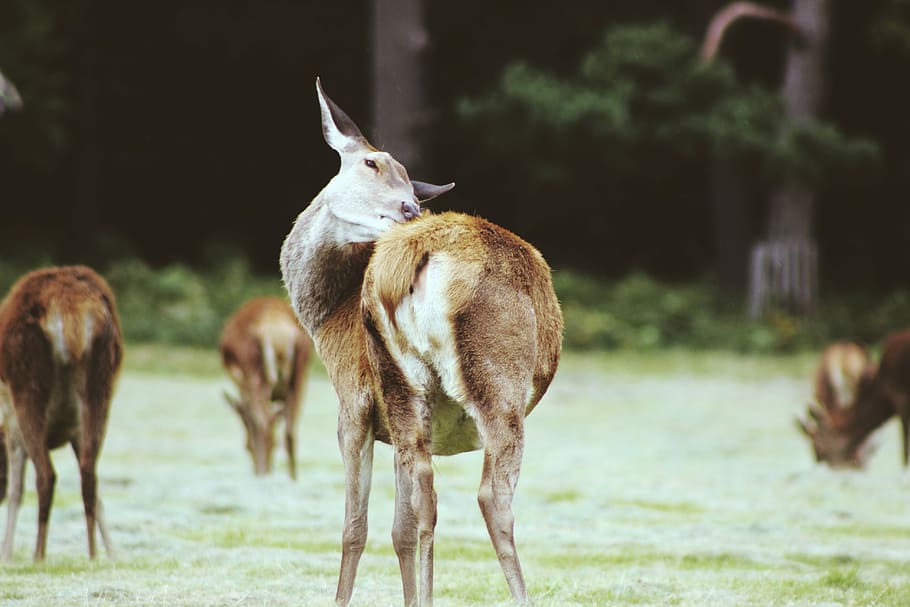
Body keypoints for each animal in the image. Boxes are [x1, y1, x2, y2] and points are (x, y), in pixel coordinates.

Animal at [0, 265, 122, 561]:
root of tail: (72, 310)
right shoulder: (75, 432)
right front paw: (113, 552)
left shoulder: (11, 428)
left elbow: (16, 491)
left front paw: (6, 555)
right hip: (101, 386)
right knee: (90, 474)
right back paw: (93, 555)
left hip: (28, 385)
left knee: (46, 475)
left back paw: (38, 556)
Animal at [219, 296, 312, 479]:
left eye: (246, 448)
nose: (256, 470)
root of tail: (279, 331)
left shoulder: (243, 385)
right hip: (300, 375)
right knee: (289, 432)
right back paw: (292, 479)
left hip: (255, 373)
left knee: (266, 424)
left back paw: (267, 477)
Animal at [279, 79, 563, 606]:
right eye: (370, 163)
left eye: (413, 184)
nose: (411, 208)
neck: (327, 321)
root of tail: (415, 251)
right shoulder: (373, 409)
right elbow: (386, 527)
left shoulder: (356, 400)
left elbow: (370, 528)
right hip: (465, 380)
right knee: (458, 494)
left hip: (446, 380)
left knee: (460, 496)